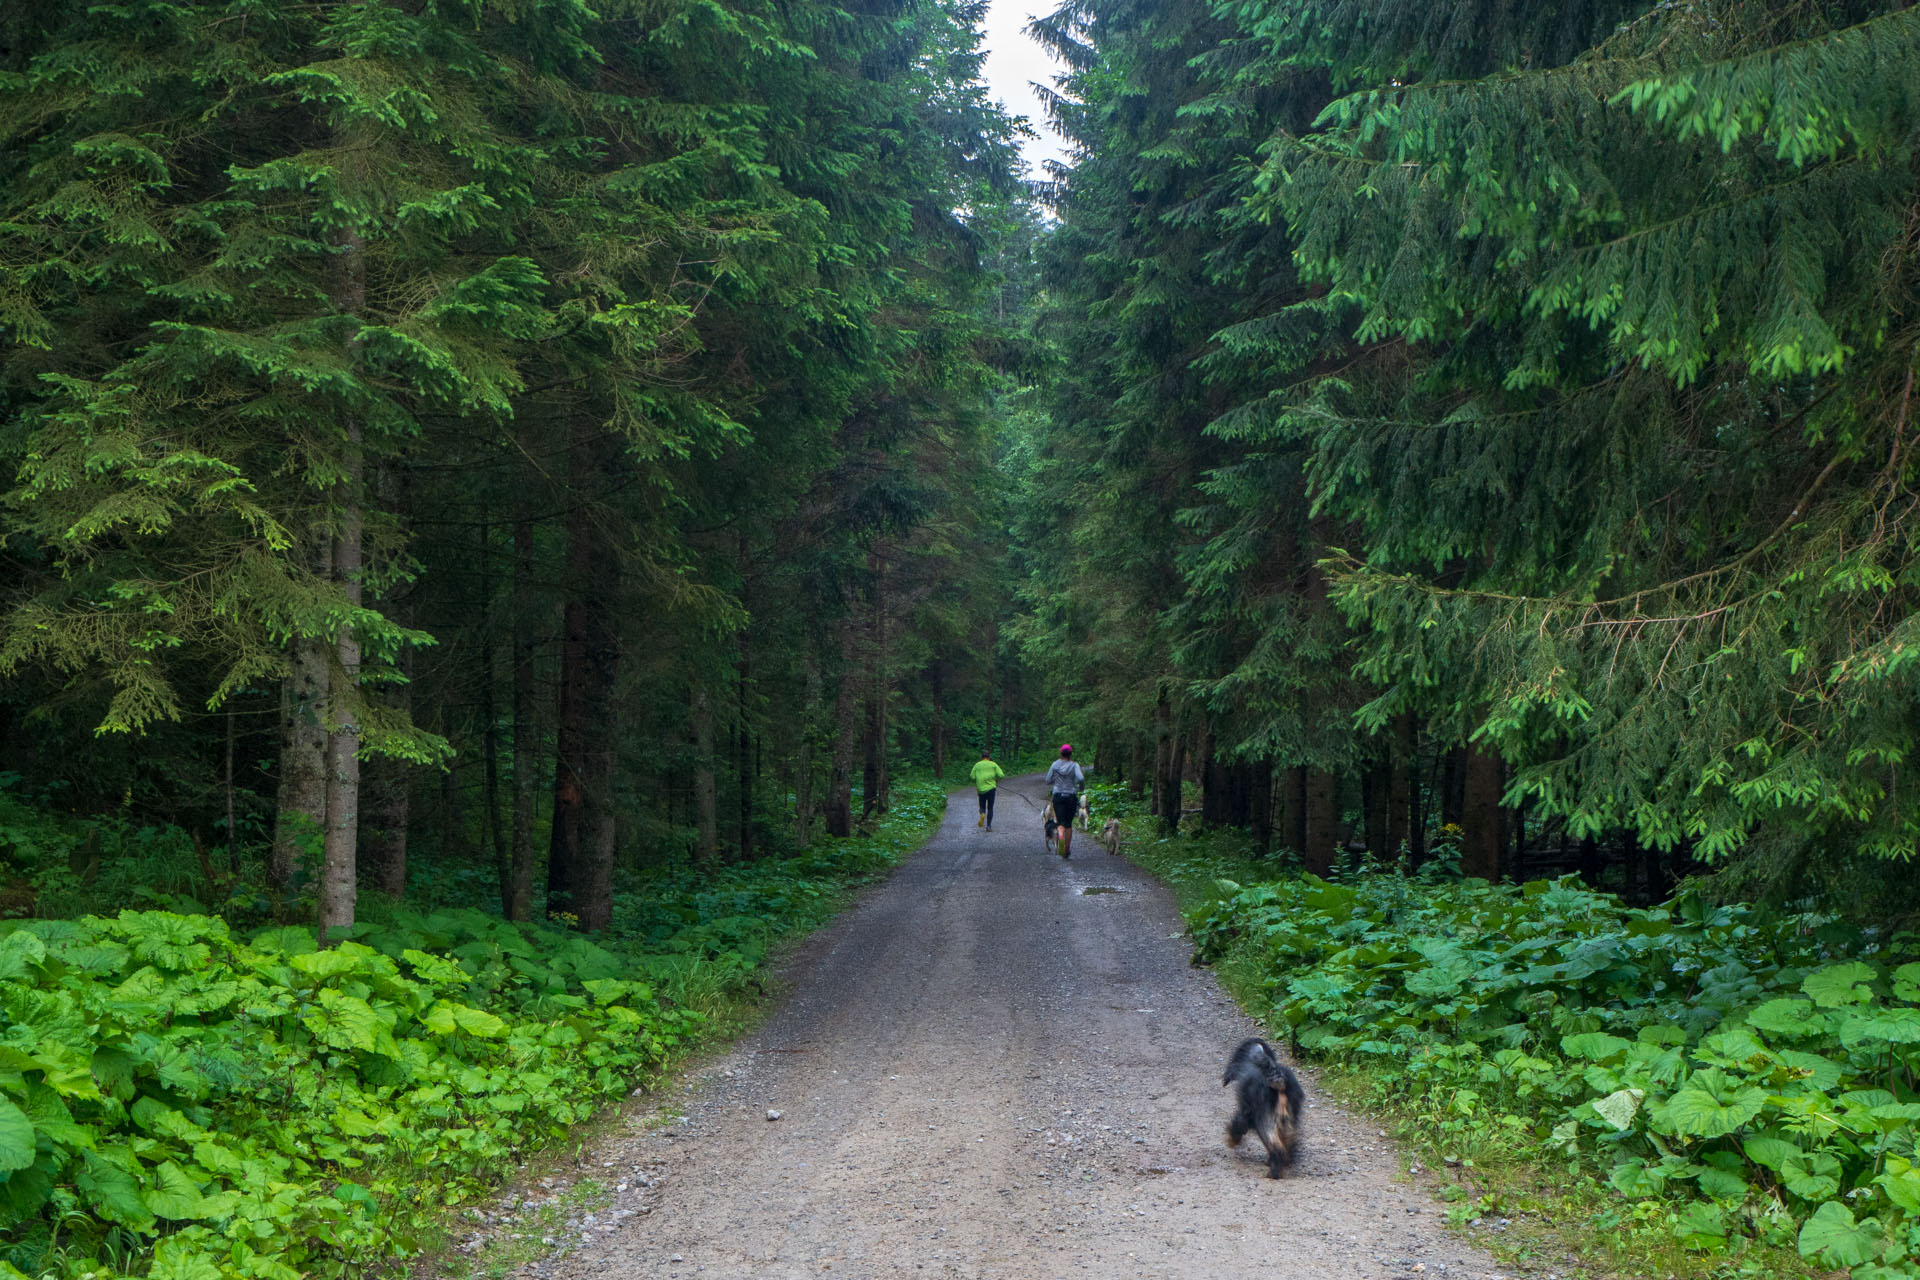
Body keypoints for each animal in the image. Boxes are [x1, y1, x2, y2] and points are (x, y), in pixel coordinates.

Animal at [1228, 1036, 1305, 1174]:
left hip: (1265, 1120)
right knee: (1289, 1143)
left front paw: (1232, 1140)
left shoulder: (1247, 1112)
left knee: (1276, 1146)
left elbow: (1238, 1125)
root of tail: (1279, 1077)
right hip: (1289, 1120)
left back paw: (1274, 1172)